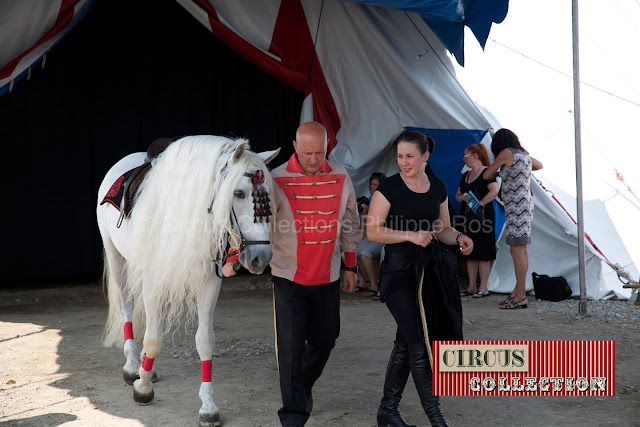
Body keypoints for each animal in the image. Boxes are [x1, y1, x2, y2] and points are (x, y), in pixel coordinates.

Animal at [97, 135, 280, 426]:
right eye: (238, 193)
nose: (260, 258)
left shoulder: (209, 283)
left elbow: (204, 341)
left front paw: (208, 406)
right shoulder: (154, 279)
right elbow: (153, 338)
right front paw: (143, 388)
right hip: (116, 258)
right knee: (127, 306)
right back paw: (132, 366)